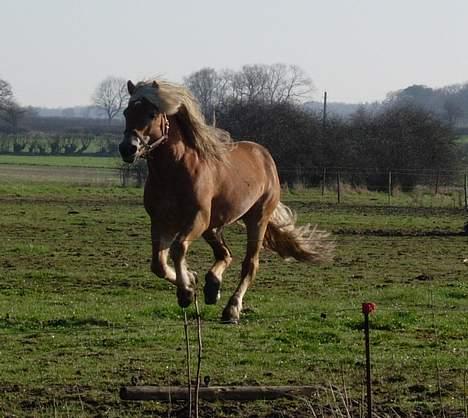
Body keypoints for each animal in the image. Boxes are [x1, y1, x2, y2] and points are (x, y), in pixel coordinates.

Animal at [119, 81, 334, 324]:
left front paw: (186, 291)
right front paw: (191, 281)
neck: (175, 171)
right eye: (126, 112)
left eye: (152, 114)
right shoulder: (161, 221)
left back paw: (231, 309)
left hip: (255, 220)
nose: (127, 148)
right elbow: (159, 264)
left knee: (249, 264)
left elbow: (178, 248)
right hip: (213, 226)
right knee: (225, 254)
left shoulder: (197, 219)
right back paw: (212, 286)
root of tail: (265, 156)